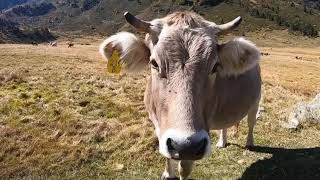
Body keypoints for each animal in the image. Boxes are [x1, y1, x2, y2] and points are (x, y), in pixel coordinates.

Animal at [99, 11, 262, 180]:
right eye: (154, 63)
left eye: (215, 66)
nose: (185, 144)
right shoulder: (160, 126)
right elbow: (166, 153)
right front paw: (167, 173)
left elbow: (184, 169)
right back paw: (222, 142)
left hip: (256, 100)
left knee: (251, 122)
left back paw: (249, 143)